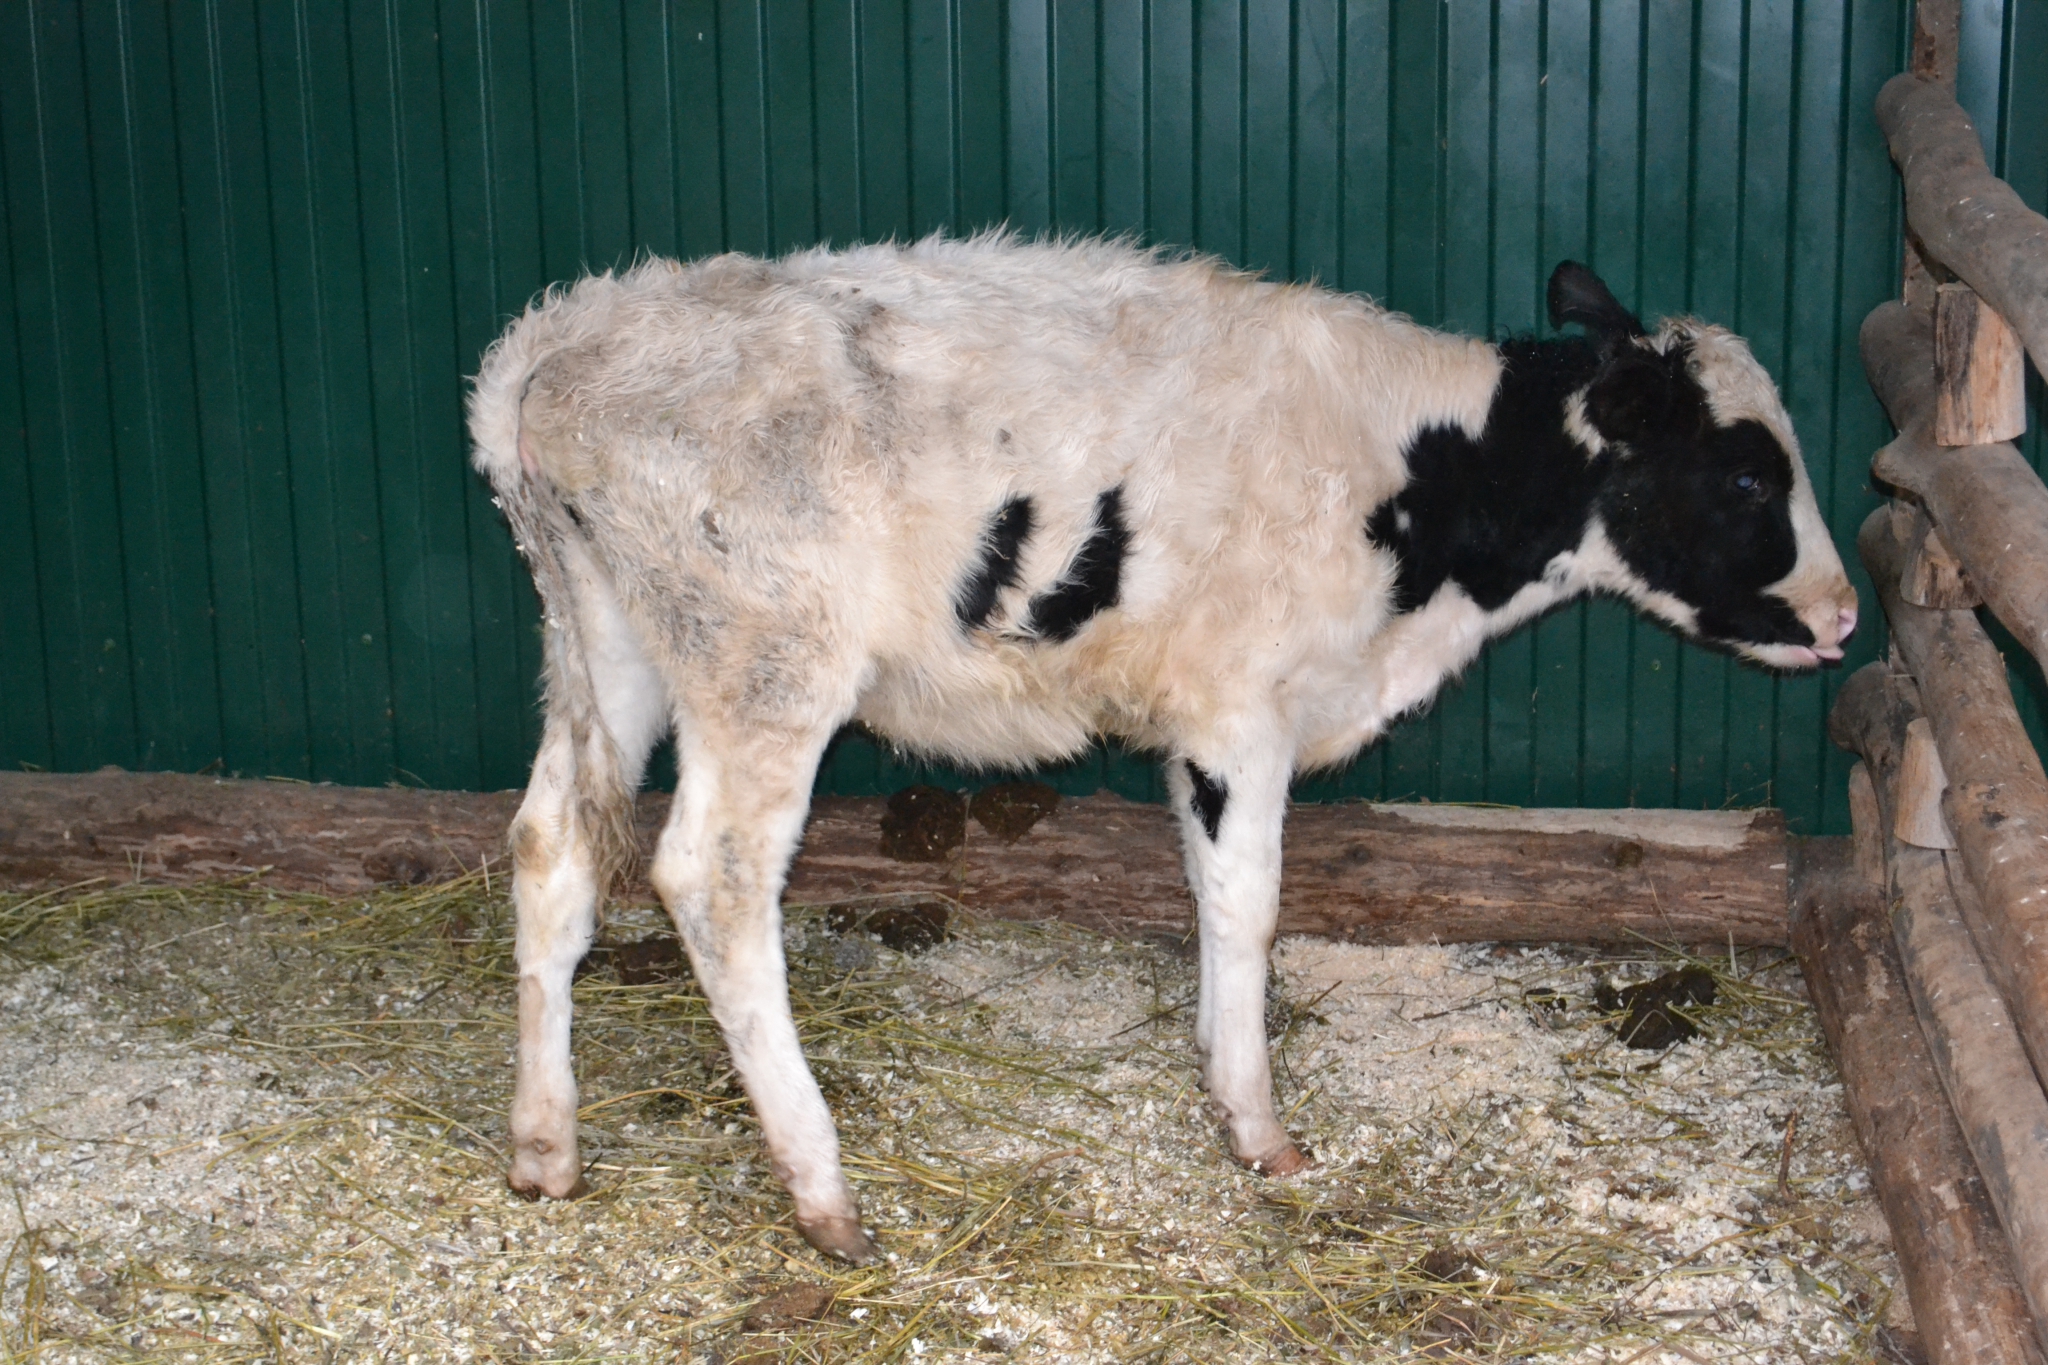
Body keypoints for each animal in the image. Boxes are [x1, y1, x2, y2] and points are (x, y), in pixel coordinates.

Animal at [468, 232, 1859, 1260]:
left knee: (549, 847)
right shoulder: (1241, 711)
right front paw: (1256, 1124)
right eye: (1748, 478)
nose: (1848, 615)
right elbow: (1249, 906)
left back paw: (544, 1145)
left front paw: (1211, 1066)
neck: (1415, 480)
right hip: (765, 666)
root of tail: (560, 345)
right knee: (712, 877)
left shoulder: (1200, 724)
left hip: (607, 646)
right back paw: (821, 1189)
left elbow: (1203, 894)